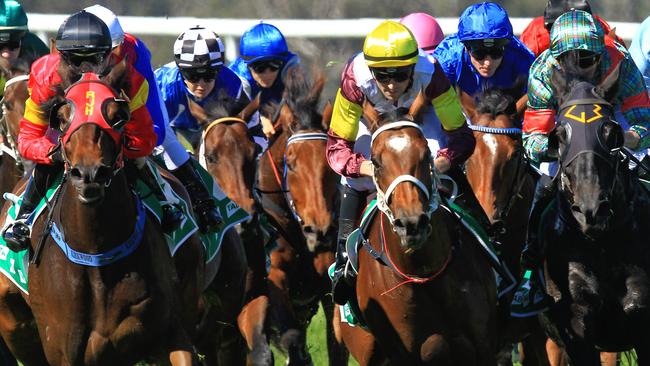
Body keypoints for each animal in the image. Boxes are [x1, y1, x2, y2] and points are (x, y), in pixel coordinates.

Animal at [0, 64, 195, 364]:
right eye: (61, 118)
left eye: (117, 117)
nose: (89, 174)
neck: (96, 253)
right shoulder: (61, 350)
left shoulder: (170, 329)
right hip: (15, 327)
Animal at [254, 67, 344, 364]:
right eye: (291, 164)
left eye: (331, 163)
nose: (321, 231)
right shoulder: (274, 276)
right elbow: (291, 338)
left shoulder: (329, 282)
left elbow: (337, 343)